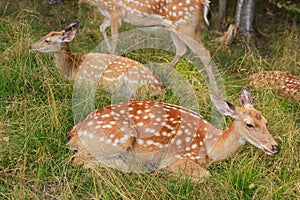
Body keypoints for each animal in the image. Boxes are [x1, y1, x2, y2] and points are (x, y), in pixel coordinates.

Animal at [67, 88, 280, 179]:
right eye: (249, 124)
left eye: (266, 122)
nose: (275, 147)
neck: (211, 146)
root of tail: (75, 131)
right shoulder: (178, 157)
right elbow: (206, 175)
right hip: (119, 137)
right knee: (77, 160)